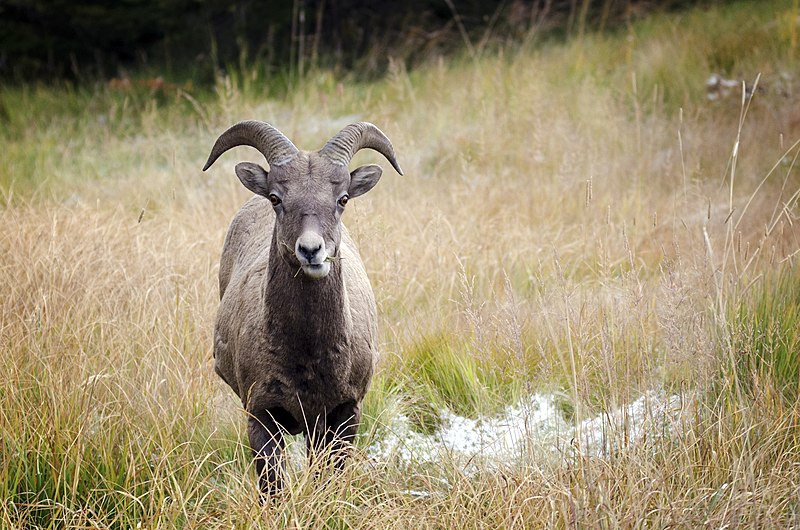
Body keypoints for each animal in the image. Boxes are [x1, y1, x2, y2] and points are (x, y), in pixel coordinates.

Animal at [200, 117, 400, 492]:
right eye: (276, 197)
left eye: (343, 198)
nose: (310, 250)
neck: (308, 355)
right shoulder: (261, 417)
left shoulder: (342, 415)